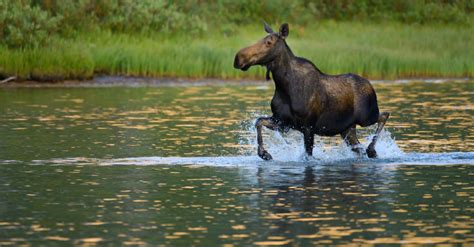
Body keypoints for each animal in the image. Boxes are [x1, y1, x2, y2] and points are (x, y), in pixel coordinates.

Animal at [233, 23, 388, 161]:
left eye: (269, 42)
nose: (238, 58)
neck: (284, 86)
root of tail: (370, 84)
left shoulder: (308, 127)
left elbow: (308, 155)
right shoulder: (283, 122)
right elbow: (258, 122)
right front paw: (264, 154)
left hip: (367, 117)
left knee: (384, 115)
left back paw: (372, 150)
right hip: (347, 129)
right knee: (359, 148)